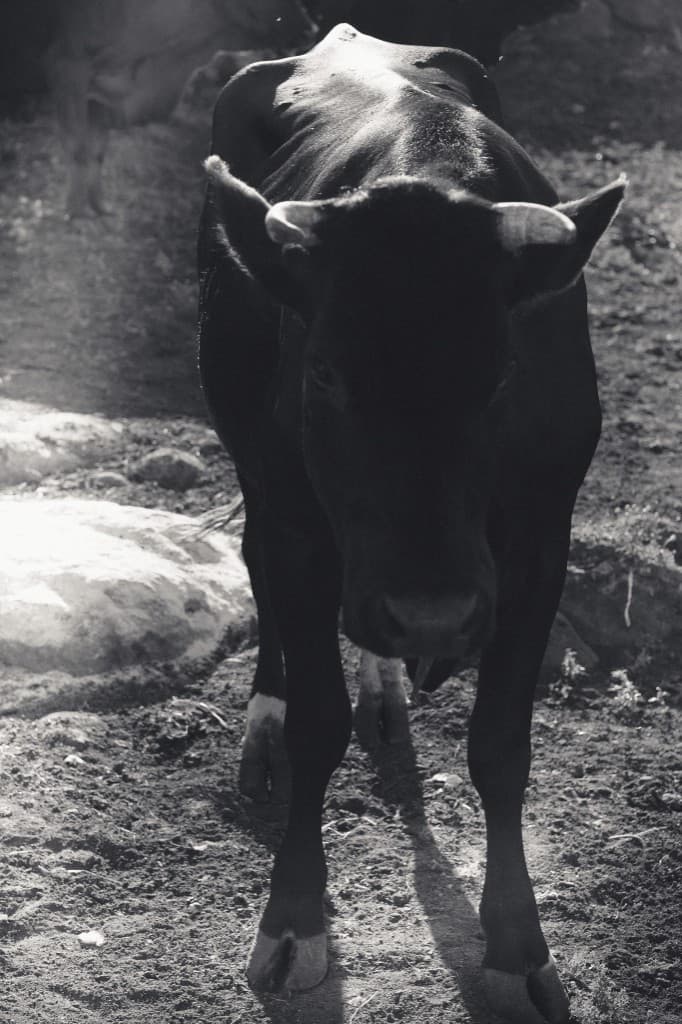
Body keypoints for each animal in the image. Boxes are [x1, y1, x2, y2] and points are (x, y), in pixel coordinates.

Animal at [38, 0, 314, 217]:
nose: (310, 30)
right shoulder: (67, 71)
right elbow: (78, 149)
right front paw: (75, 211)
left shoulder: (99, 98)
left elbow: (97, 151)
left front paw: (99, 207)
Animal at [197, 24, 624, 1022]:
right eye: (324, 373)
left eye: (504, 374)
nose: (430, 615)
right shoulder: (302, 524)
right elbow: (319, 721)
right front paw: (293, 922)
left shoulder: (541, 537)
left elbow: (501, 743)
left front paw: (516, 947)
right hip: (252, 455)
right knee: (259, 571)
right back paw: (267, 719)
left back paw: (388, 686)